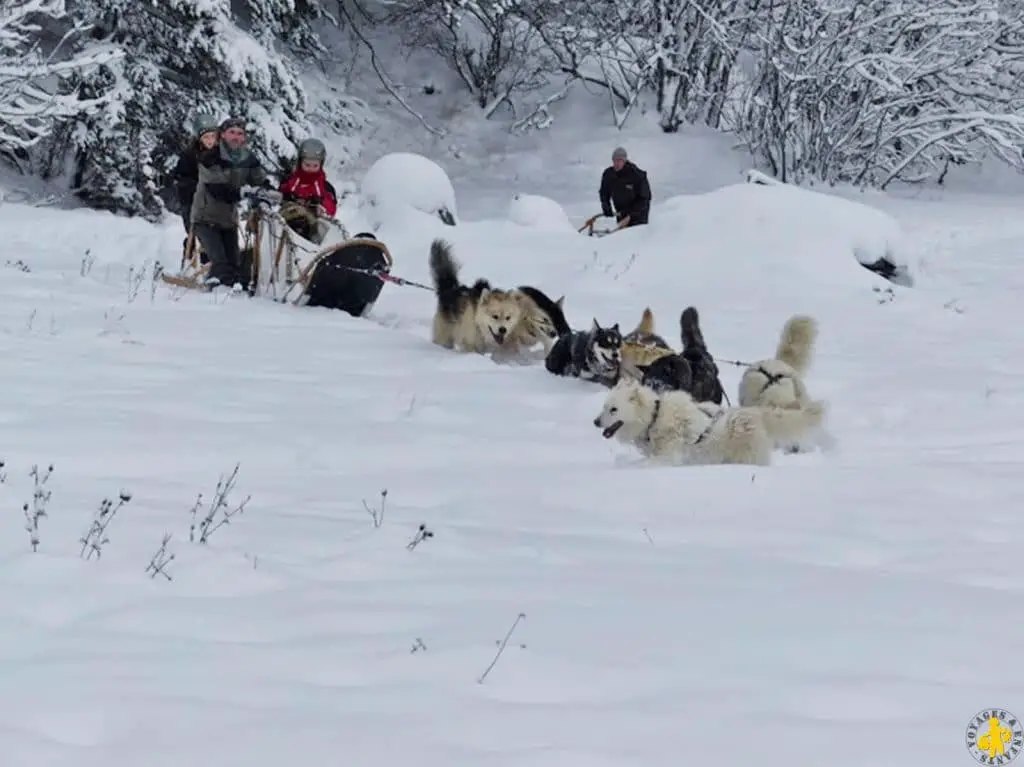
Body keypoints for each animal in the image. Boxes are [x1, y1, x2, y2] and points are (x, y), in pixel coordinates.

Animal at [593, 378, 823, 466]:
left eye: (613, 409)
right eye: (604, 406)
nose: (595, 422)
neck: (655, 417)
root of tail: (754, 413)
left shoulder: (668, 457)